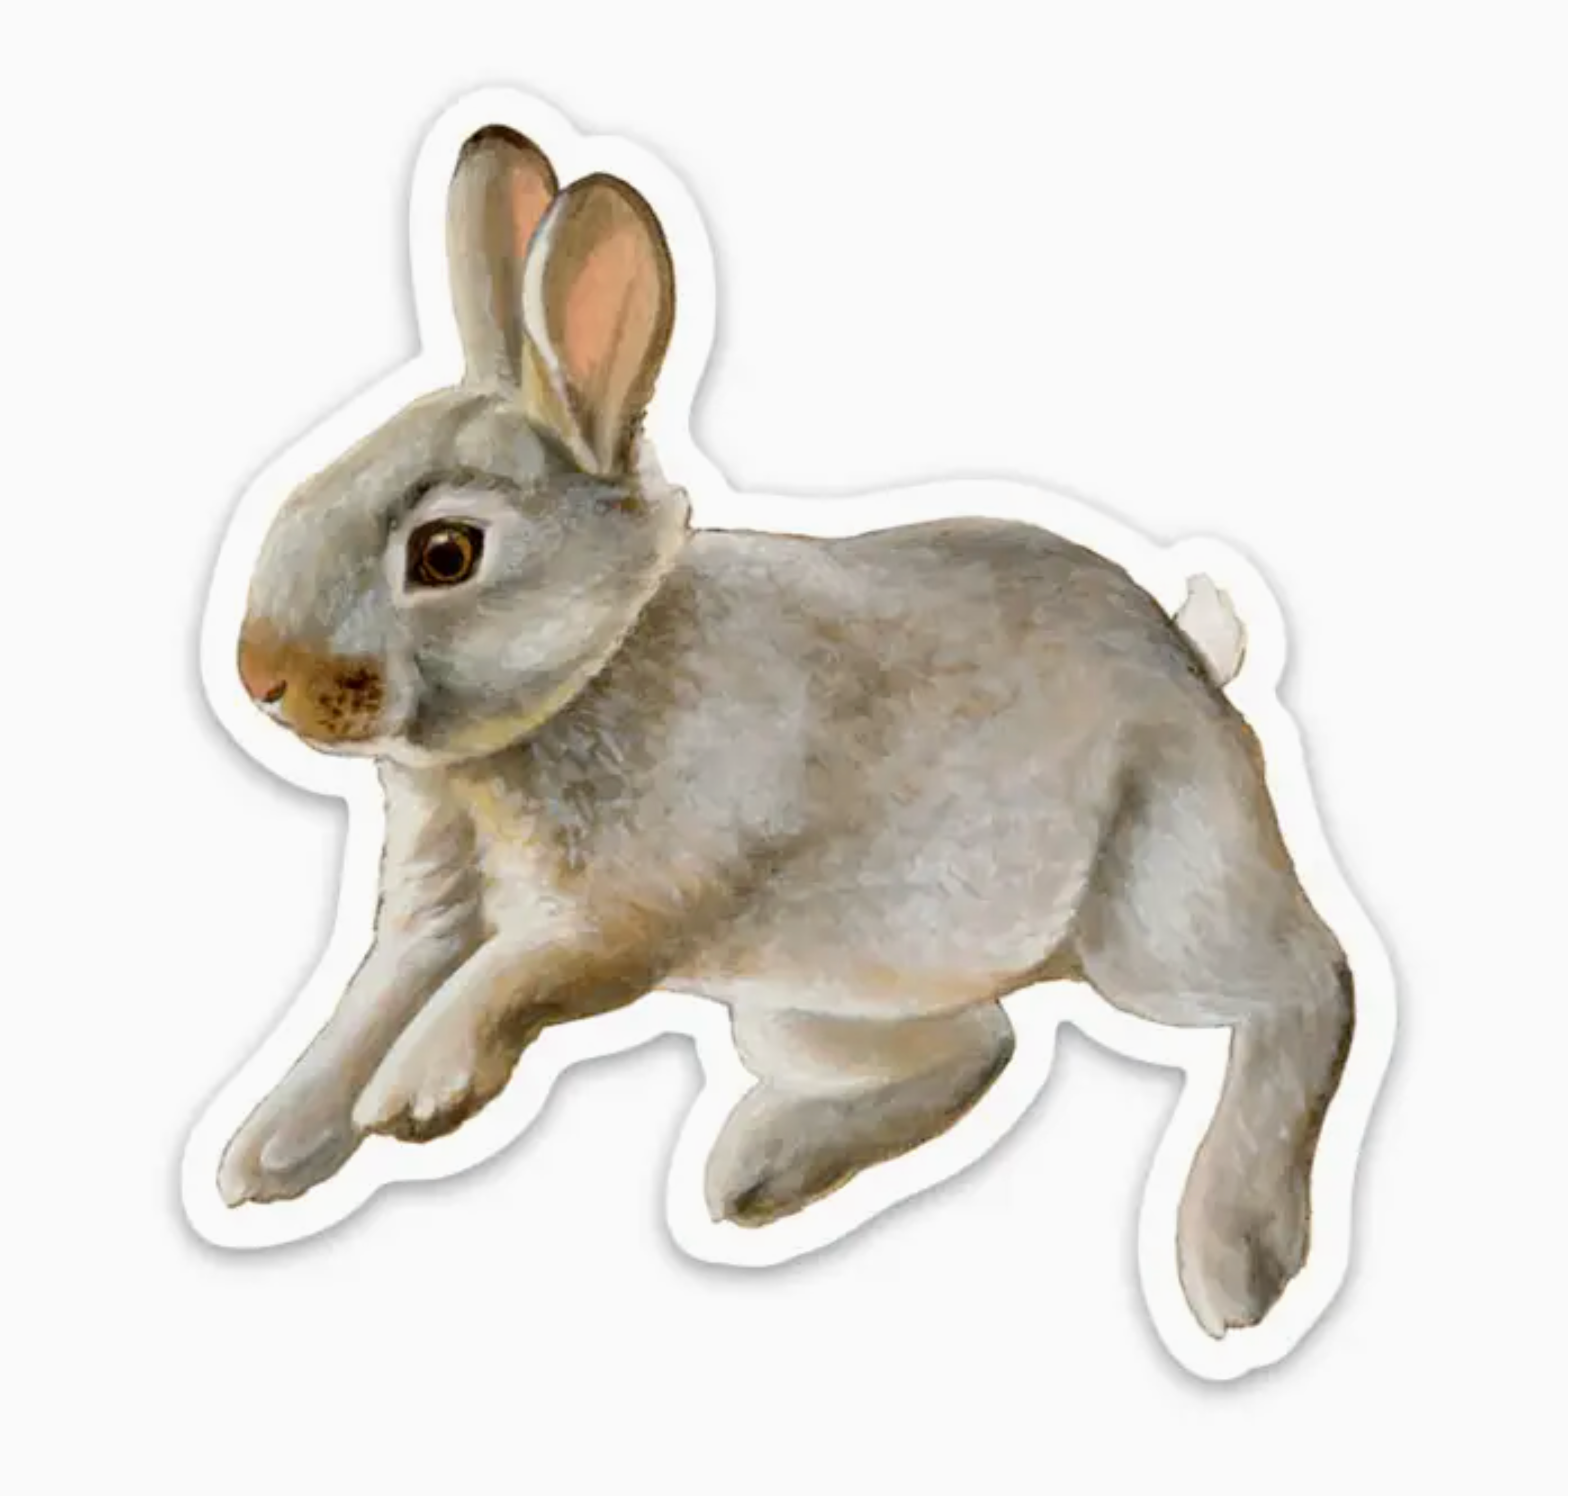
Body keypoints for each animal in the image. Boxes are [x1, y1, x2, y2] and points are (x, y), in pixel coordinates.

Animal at [216, 123, 1354, 1341]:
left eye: (445, 555)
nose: (261, 676)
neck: (586, 678)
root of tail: (1192, 662)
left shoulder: (626, 911)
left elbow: (509, 978)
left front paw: (419, 1088)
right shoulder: (431, 917)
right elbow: (360, 1013)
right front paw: (265, 1155)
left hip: (1156, 903)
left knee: (1308, 987)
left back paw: (1237, 1260)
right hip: (805, 997)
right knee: (982, 1047)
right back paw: (759, 1169)